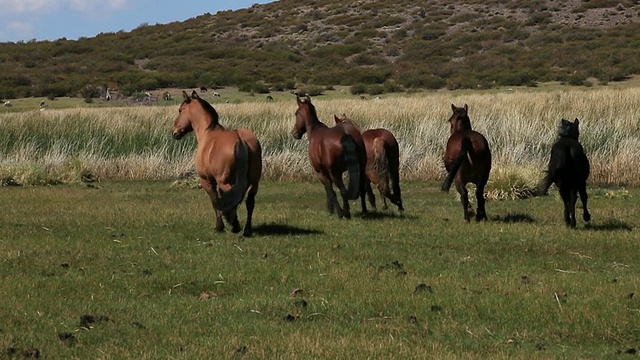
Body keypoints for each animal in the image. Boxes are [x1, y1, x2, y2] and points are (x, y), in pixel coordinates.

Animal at [171, 90, 262, 236]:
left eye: (180, 110)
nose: (174, 131)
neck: (208, 133)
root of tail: (240, 139)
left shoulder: (207, 181)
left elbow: (215, 202)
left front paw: (219, 227)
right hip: (254, 183)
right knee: (249, 202)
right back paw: (246, 230)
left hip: (225, 182)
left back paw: (235, 225)